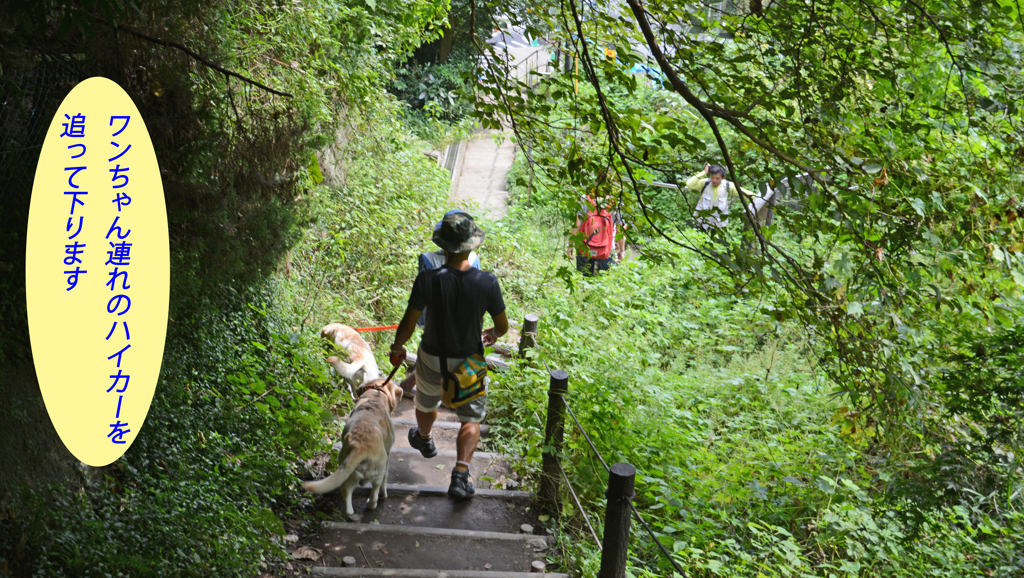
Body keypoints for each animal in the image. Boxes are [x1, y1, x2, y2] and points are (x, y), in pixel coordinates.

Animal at [299, 377, 403, 516]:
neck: (377, 395)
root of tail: (361, 447)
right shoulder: (388, 451)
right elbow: (385, 479)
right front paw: (384, 493)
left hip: (352, 471)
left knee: (350, 493)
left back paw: (351, 512)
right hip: (372, 471)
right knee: (370, 494)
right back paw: (368, 505)